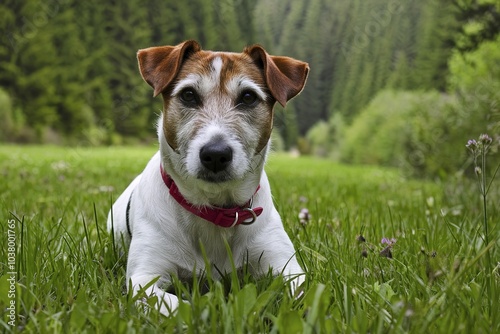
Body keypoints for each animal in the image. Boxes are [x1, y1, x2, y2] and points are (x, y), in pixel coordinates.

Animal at [107, 40, 308, 314]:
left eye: (248, 97)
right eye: (188, 95)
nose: (215, 154)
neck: (215, 209)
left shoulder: (286, 267)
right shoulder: (143, 280)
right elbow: (182, 306)